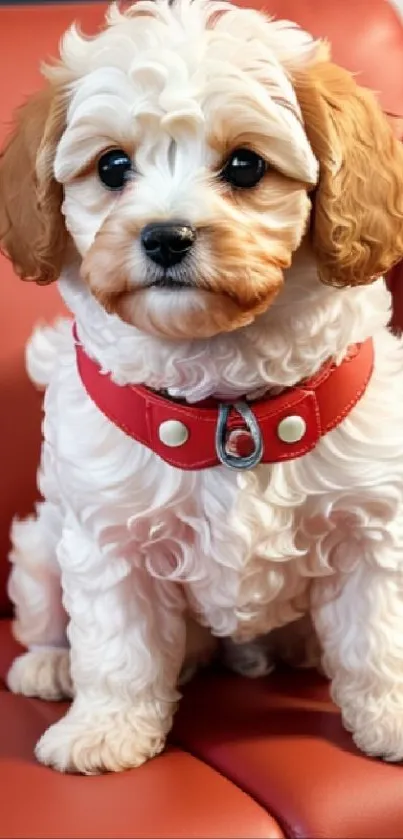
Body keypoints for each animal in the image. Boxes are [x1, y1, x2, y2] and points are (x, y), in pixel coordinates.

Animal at [0, 0, 403, 776]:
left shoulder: (374, 521)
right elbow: (117, 646)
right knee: (50, 613)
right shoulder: (109, 538)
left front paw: (391, 714)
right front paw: (106, 727)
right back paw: (50, 665)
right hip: (40, 546)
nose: (165, 236)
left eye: (245, 165)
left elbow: (379, 637)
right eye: (112, 165)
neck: (228, 405)